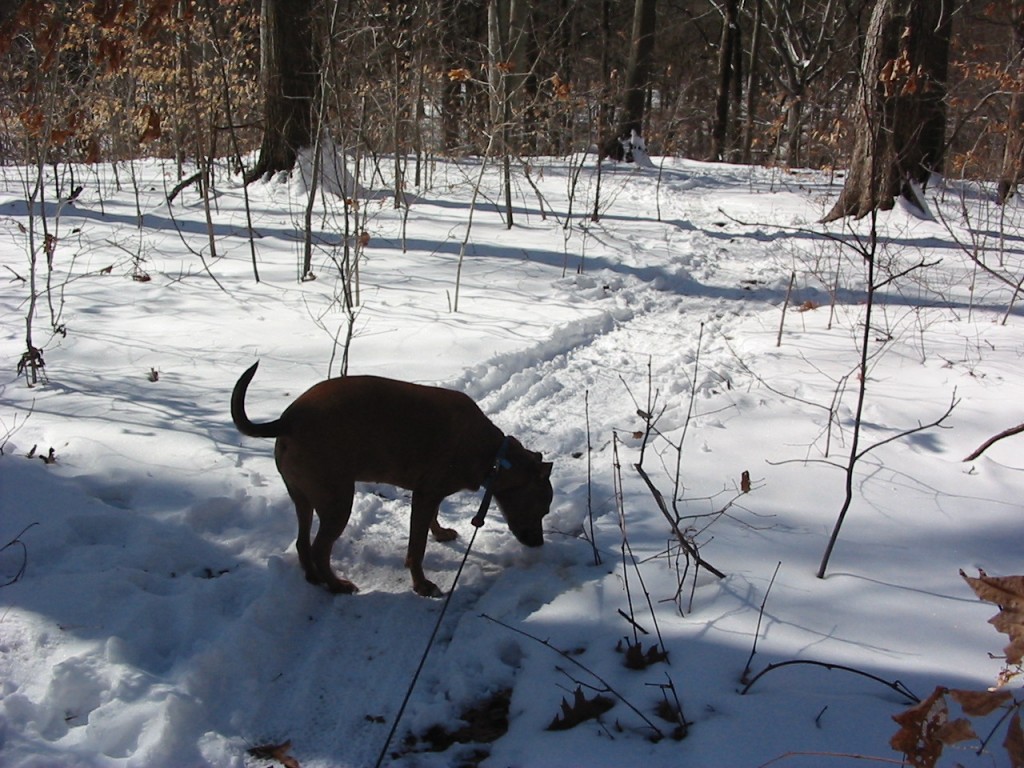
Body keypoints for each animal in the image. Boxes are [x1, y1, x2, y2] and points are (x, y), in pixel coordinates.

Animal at [232, 364, 552, 598]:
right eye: (543, 509)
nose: (539, 544)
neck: (496, 457)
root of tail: (287, 420)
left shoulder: (428, 494)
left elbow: (432, 519)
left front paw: (440, 533)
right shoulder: (426, 495)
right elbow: (416, 549)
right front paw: (421, 586)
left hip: (304, 497)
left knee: (302, 543)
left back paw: (313, 577)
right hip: (337, 503)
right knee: (319, 548)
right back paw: (336, 585)